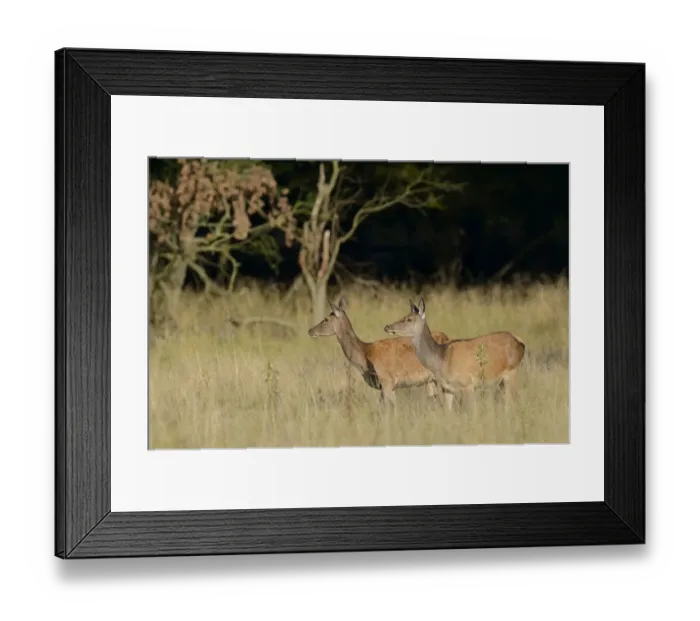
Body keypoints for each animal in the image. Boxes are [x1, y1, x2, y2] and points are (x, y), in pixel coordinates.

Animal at [383, 297, 526, 412]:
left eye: (409, 319)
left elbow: (471, 411)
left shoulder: (468, 384)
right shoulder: (447, 388)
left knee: (514, 400)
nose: (387, 327)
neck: (441, 360)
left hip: (511, 372)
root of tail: (521, 342)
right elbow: (448, 412)